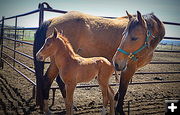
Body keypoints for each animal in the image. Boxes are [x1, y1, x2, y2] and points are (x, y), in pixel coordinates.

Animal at [33, 10, 165, 114]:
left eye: (134, 37)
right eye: (124, 35)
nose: (116, 62)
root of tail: (52, 19)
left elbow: (118, 91)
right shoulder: (129, 67)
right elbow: (123, 89)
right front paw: (119, 110)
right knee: (48, 80)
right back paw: (49, 110)